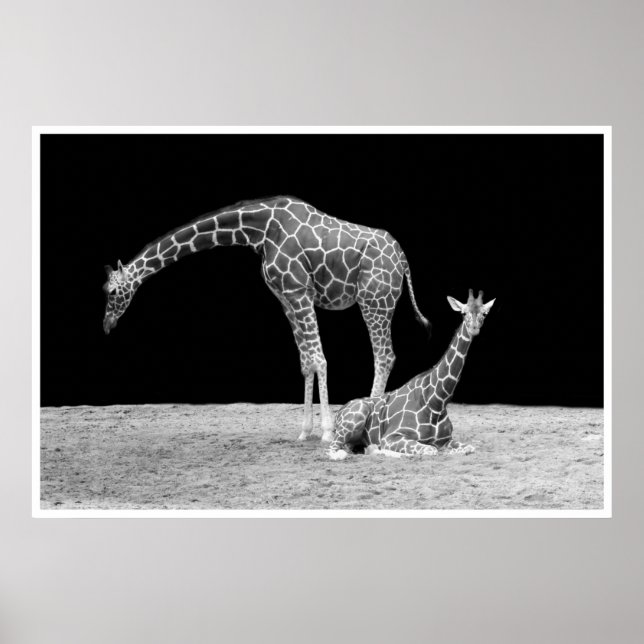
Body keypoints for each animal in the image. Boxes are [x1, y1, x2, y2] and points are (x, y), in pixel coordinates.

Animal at [102, 196, 430, 442]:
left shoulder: (299, 292)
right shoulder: (286, 299)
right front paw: (305, 431)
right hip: (376, 302)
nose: (106, 325)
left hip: (375, 300)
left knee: (385, 355)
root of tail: (403, 259)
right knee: (383, 355)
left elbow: (320, 359)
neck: (260, 231)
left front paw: (325, 432)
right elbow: (306, 362)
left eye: (113, 291)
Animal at [327, 289, 495, 459]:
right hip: (354, 420)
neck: (437, 401)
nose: (474, 328)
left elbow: (469, 448)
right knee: (334, 451)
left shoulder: (445, 439)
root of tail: (339, 412)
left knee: (352, 449)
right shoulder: (391, 437)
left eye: (484, 313)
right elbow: (430, 450)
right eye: (463, 312)